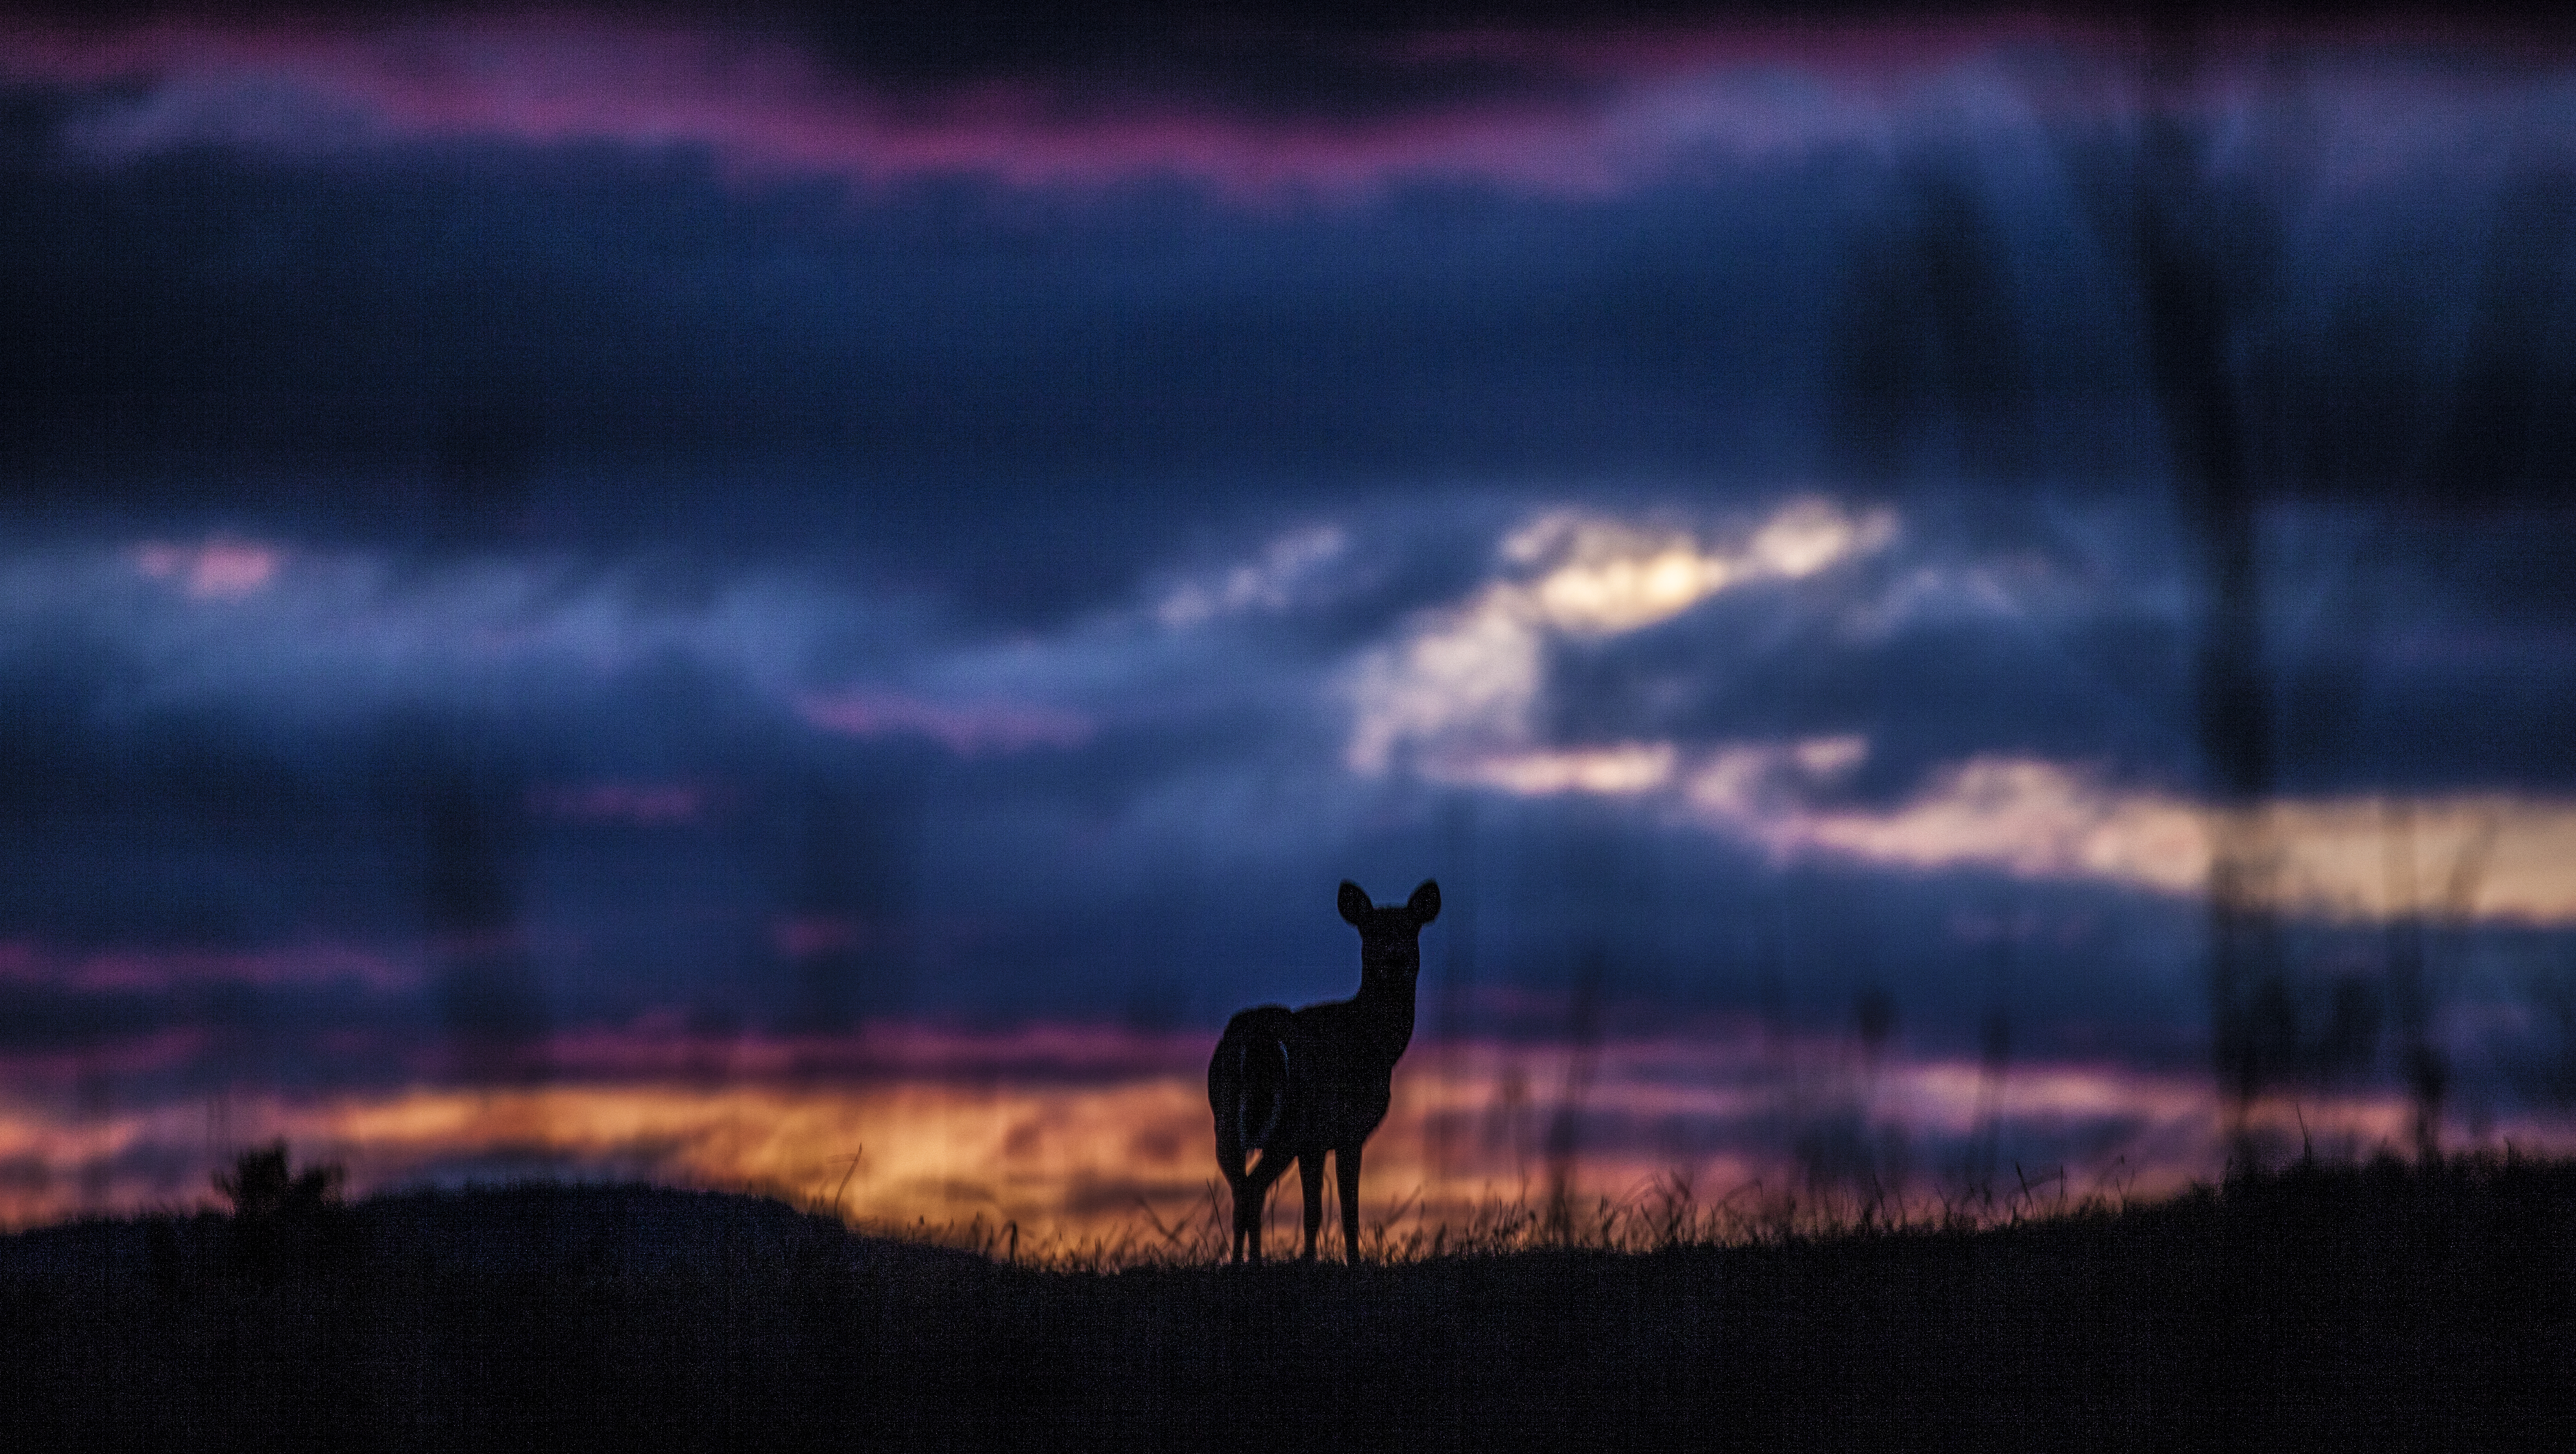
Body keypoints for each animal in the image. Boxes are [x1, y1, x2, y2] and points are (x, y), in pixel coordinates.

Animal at [1210, 876, 1442, 1263]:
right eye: (1370, 930)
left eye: (1412, 928)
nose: (1395, 958)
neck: (1375, 1043)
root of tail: (1255, 1036)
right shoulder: (1348, 1130)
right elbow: (1348, 1209)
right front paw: (1352, 1263)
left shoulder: (1314, 1142)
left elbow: (1313, 1210)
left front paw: (1309, 1261)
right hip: (1287, 1123)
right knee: (1253, 1188)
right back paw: (1252, 1262)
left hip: (1226, 1120)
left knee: (1242, 1190)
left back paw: (1240, 1263)